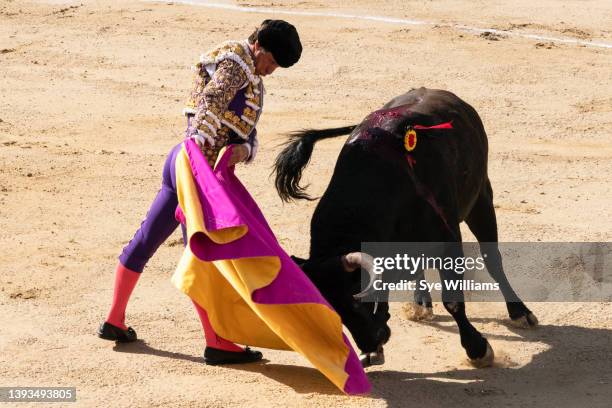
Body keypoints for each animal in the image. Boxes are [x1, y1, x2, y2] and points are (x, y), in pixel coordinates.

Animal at [272, 88, 536, 364]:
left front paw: (478, 349)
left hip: (481, 199)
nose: (370, 343)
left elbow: (453, 301)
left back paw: (520, 312)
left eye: (356, 300)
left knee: (492, 258)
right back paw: (421, 303)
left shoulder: (449, 241)